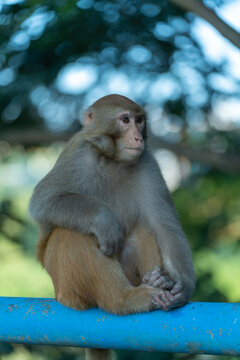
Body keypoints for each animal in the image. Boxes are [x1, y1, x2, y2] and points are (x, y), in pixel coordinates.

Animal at [29, 94, 195, 358]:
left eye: (139, 120)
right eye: (124, 120)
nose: (138, 137)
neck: (113, 160)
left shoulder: (147, 162)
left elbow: (165, 226)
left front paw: (183, 288)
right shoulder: (78, 153)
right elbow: (44, 202)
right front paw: (104, 220)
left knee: (143, 230)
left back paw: (160, 281)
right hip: (66, 290)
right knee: (69, 234)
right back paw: (124, 300)